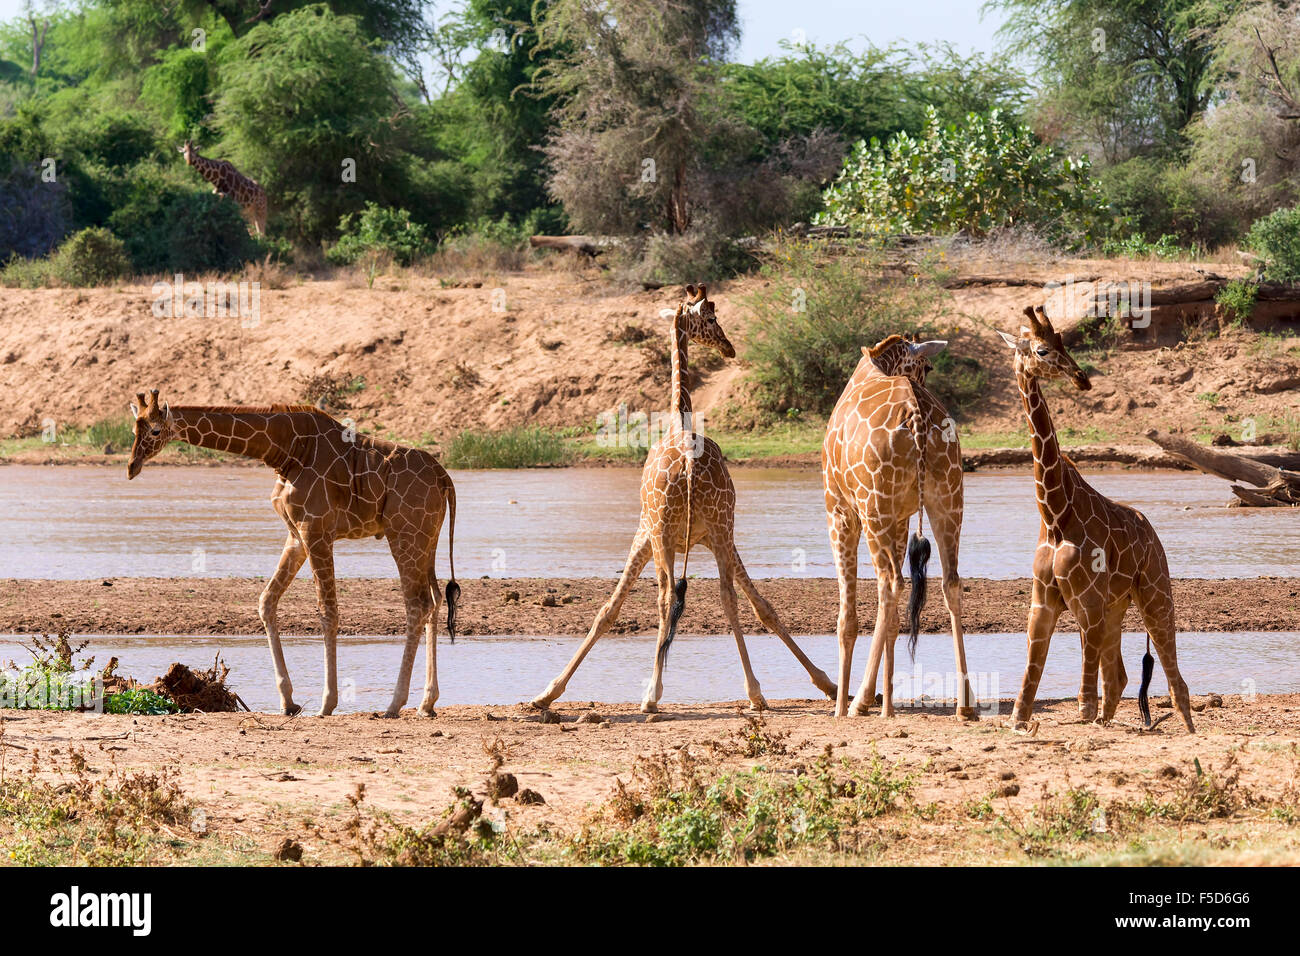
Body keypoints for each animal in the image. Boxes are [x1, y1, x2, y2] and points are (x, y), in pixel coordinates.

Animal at [122, 390, 457, 717]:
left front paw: (327, 703)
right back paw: (427, 703)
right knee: (435, 599)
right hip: (427, 539)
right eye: (133, 429)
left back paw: (394, 704)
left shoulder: (316, 531)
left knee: (417, 604)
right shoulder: (296, 535)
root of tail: (445, 478)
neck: (285, 450)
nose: (131, 467)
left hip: (404, 535)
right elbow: (266, 601)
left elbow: (327, 611)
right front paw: (287, 700)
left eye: (155, 430)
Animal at [527, 282, 832, 712]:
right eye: (713, 317)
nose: (729, 347)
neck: (679, 420)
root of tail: (687, 467)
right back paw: (736, 691)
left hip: (682, 534)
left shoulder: (655, 533)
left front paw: (827, 683)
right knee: (714, 596)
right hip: (707, 531)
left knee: (677, 596)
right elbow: (610, 609)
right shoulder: (685, 535)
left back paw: (659, 694)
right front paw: (548, 692)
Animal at [821, 332, 977, 712]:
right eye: (928, 367)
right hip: (948, 500)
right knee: (949, 582)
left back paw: (879, 709)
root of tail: (917, 418)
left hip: (873, 506)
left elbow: (847, 617)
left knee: (891, 583)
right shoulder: (901, 517)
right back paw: (965, 705)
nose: (927, 380)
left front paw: (843, 707)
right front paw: (865, 698)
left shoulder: (840, 511)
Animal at [998, 306, 1190, 733]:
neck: (1054, 513)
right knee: (1119, 676)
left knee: (1175, 678)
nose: (1082, 378)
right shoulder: (1043, 601)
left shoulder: (1086, 599)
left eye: (1063, 343)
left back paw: (1188, 727)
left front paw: (1084, 715)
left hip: (1154, 591)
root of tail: (1152, 532)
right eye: (1041, 349)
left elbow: (1085, 697)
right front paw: (1019, 719)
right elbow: (1032, 669)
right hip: (1116, 605)